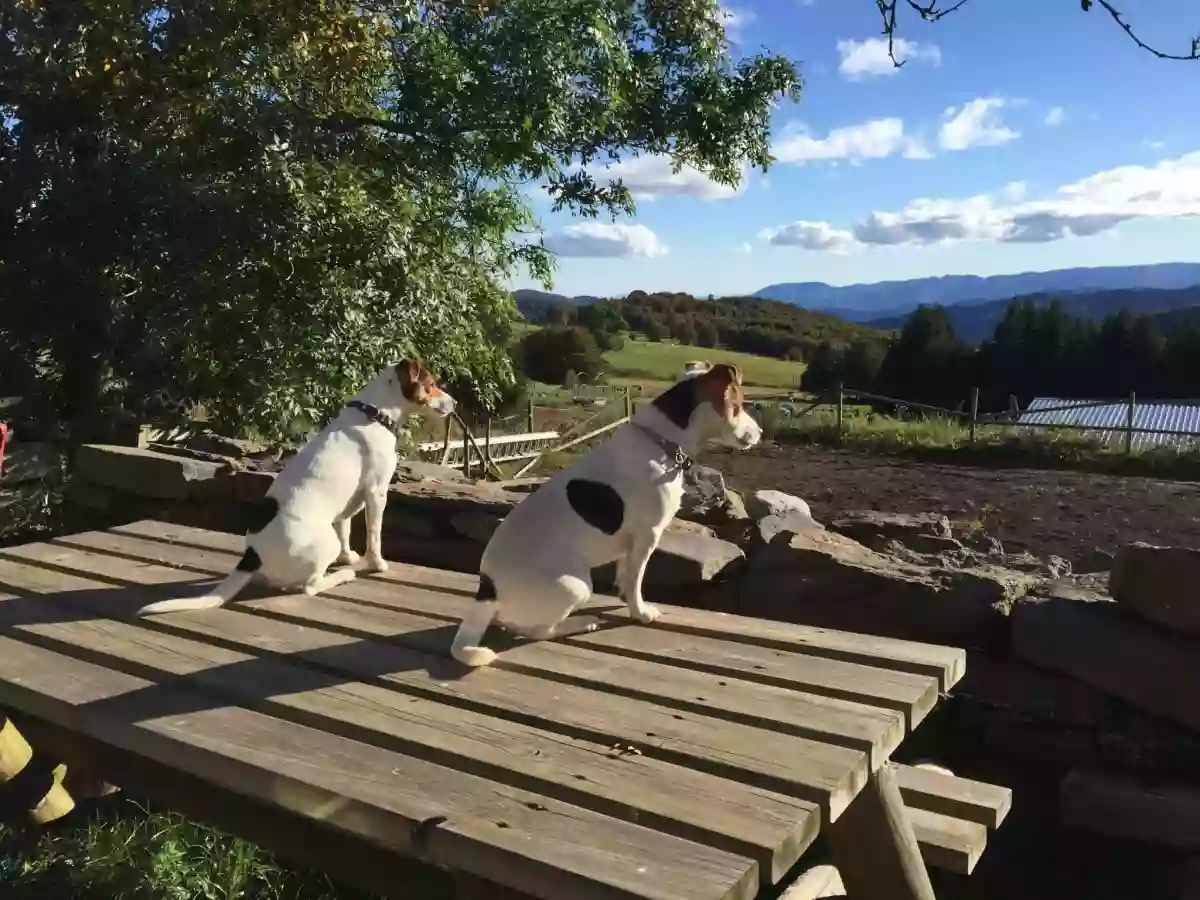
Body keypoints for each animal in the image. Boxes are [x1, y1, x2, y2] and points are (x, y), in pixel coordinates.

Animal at [138, 362, 456, 619]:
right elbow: (374, 536)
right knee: (310, 587)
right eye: (431, 384)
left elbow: (346, 531)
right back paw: (343, 575)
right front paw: (376, 564)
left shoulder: (348, 507)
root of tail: (253, 555)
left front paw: (349, 556)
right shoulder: (377, 493)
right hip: (323, 544)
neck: (373, 414)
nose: (454, 403)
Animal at [451, 364, 758, 672]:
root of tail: (487, 590)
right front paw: (640, 611)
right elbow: (636, 579)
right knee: (539, 631)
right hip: (577, 587)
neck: (661, 443)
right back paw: (580, 623)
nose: (761, 431)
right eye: (738, 404)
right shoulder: (648, 534)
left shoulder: (632, 541)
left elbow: (626, 575)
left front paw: (625, 597)